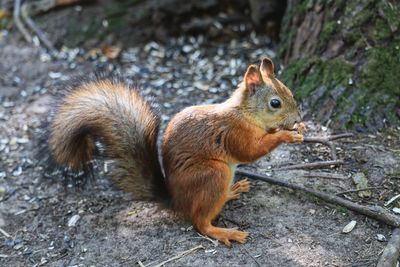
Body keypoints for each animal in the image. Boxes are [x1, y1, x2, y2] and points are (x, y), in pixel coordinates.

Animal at [46, 57, 304, 248]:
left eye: (291, 93)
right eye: (275, 103)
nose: (297, 118)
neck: (246, 113)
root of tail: (176, 201)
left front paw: (296, 129)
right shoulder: (234, 134)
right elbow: (250, 151)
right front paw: (287, 135)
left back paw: (232, 191)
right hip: (214, 173)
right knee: (200, 222)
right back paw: (223, 232)